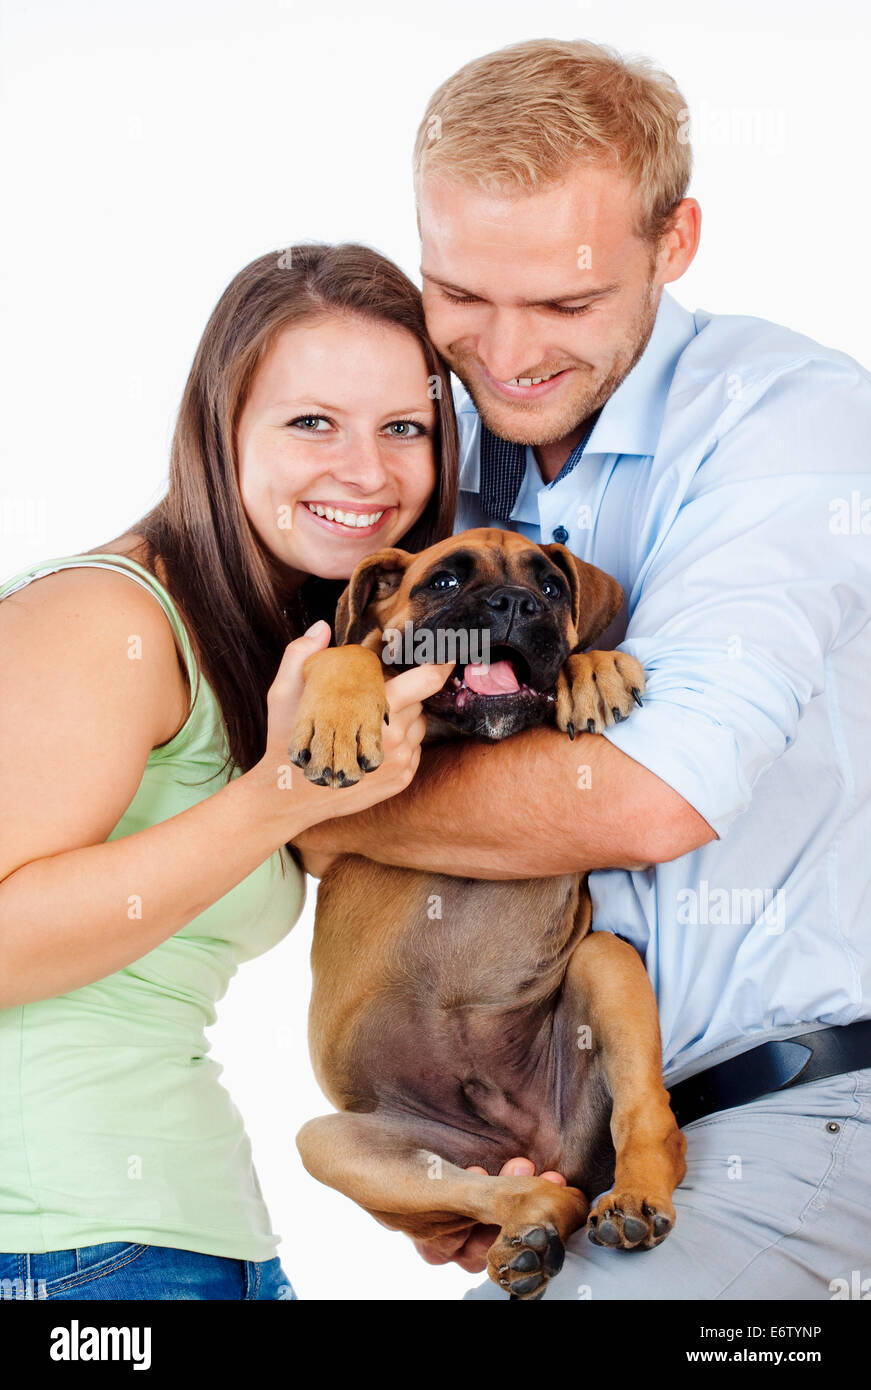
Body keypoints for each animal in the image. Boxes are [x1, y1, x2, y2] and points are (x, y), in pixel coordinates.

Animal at [293, 525, 689, 1295]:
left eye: (554, 587)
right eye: (444, 583)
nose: (515, 604)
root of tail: (537, 1147)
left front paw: (591, 668)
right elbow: (346, 649)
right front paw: (338, 713)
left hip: (605, 964)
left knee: (650, 1123)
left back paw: (631, 1200)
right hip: (331, 1140)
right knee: (519, 1194)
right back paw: (525, 1239)